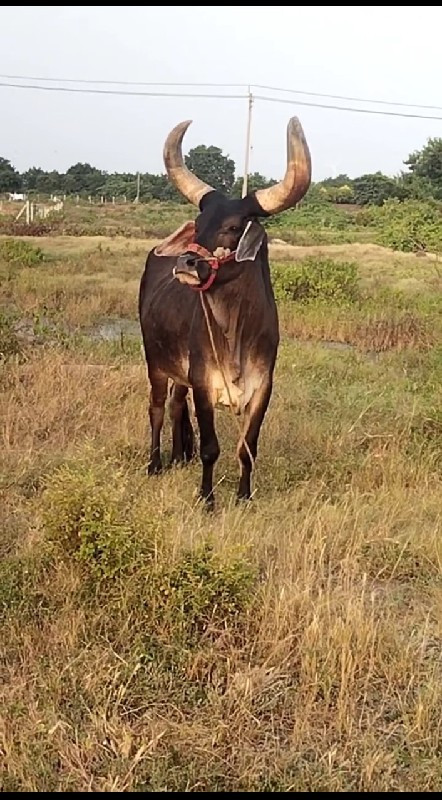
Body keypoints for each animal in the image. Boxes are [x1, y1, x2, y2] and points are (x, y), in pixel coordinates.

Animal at [139, 115, 310, 506]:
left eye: (232, 228)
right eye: (198, 226)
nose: (186, 263)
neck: (236, 332)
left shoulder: (263, 388)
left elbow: (247, 448)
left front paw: (244, 496)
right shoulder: (204, 384)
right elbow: (210, 448)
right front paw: (207, 499)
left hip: (179, 373)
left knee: (175, 405)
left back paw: (177, 457)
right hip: (155, 364)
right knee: (156, 409)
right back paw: (155, 464)